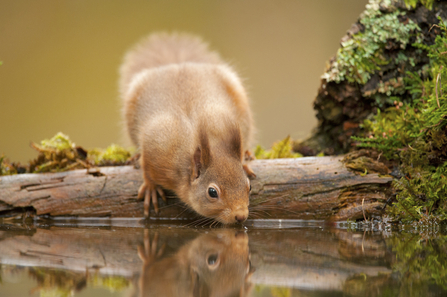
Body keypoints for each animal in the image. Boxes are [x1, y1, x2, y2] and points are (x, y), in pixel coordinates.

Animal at [120, 32, 256, 223]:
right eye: (212, 192)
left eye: (249, 186)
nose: (241, 216)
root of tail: (178, 64)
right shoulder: (158, 145)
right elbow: (146, 165)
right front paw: (150, 187)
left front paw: (243, 161)